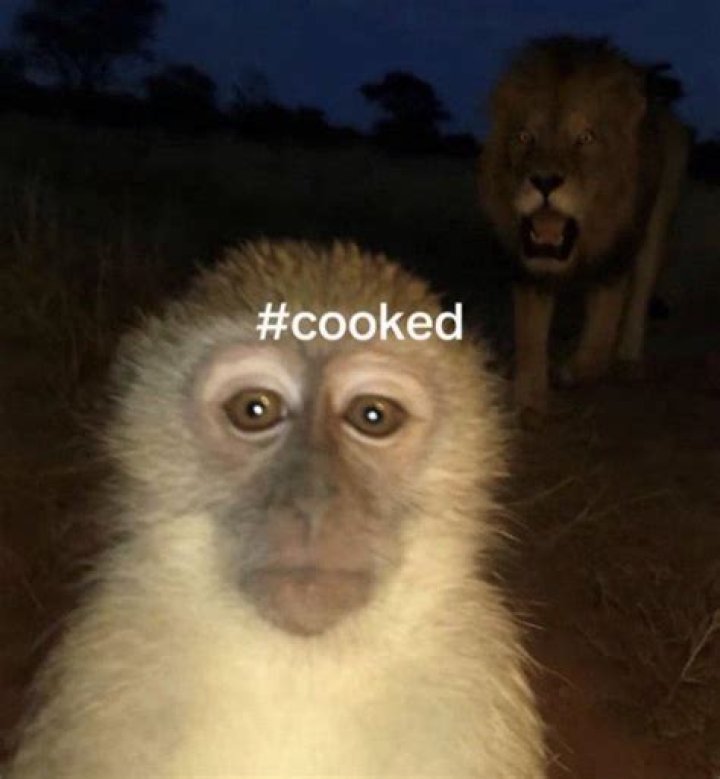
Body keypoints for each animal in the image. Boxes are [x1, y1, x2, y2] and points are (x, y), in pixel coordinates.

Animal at [478, 35, 689, 422]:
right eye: (524, 137)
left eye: (586, 138)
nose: (544, 181)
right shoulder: (529, 265)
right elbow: (530, 336)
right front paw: (528, 401)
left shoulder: (615, 259)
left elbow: (598, 344)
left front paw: (569, 371)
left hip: (656, 226)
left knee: (639, 297)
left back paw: (628, 360)